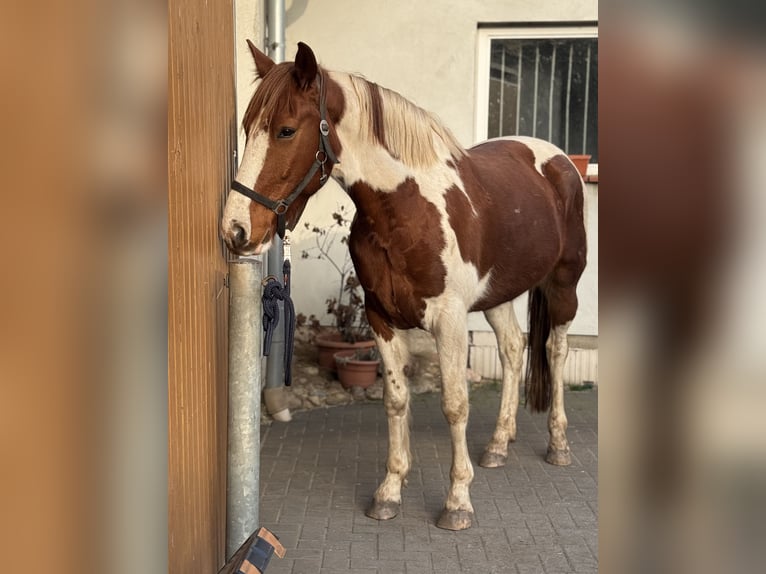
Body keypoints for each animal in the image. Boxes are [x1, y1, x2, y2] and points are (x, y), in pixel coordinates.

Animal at [221, 41, 587, 531]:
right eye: (247, 128)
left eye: (285, 130)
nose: (235, 230)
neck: (405, 208)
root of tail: (561, 161)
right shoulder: (381, 317)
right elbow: (395, 400)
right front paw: (390, 491)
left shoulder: (449, 321)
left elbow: (455, 403)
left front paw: (457, 502)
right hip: (498, 294)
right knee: (513, 349)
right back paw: (497, 444)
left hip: (564, 284)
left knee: (555, 349)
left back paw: (558, 445)